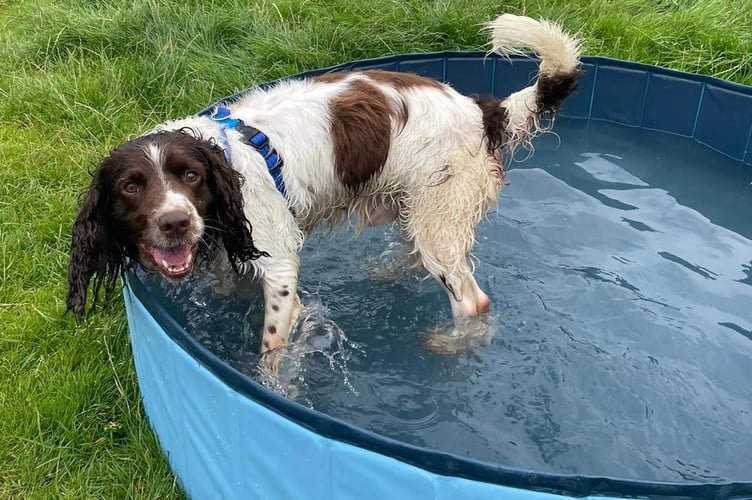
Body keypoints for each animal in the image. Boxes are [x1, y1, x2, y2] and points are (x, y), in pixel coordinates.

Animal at [66, 14, 580, 356]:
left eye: (190, 175)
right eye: (131, 187)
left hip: (441, 216)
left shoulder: (278, 263)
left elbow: (273, 347)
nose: (174, 222)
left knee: (472, 301)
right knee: (417, 255)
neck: (227, 156)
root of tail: (483, 111)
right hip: (416, 207)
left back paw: (449, 345)